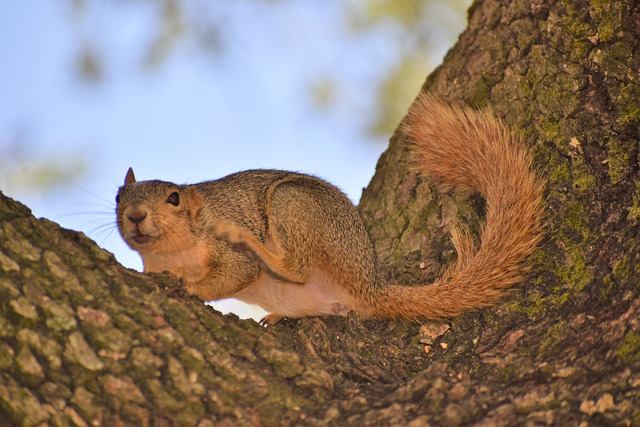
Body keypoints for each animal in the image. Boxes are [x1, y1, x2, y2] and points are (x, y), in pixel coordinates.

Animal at [116, 95, 544, 324]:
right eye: (119, 197)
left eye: (173, 198)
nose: (135, 215)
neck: (175, 253)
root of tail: (368, 283)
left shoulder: (224, 249)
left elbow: (235, 273)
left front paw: (192, 287)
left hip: (293, 203)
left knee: (296, 267)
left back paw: (258, 246)